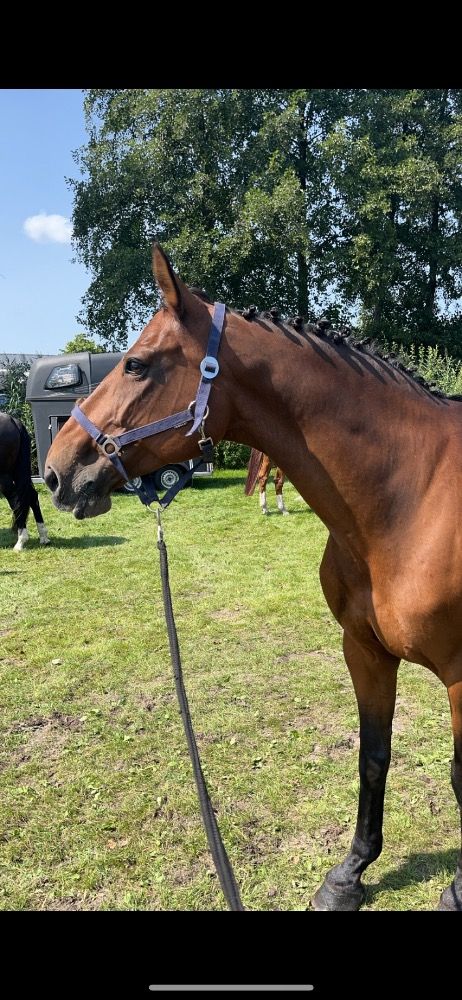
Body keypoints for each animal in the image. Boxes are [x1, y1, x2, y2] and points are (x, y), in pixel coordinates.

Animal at [0, 412, 50, 551]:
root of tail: (13, 420)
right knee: (32, 496)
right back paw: (43, 537)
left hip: (4, 475)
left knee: (15, 500)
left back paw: (21, 542)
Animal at [44, 243, 462, 911]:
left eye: (136, 364)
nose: (57, 472)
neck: (411, 497)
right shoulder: (364, 651)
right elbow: (373, 757)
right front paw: (349, 874)